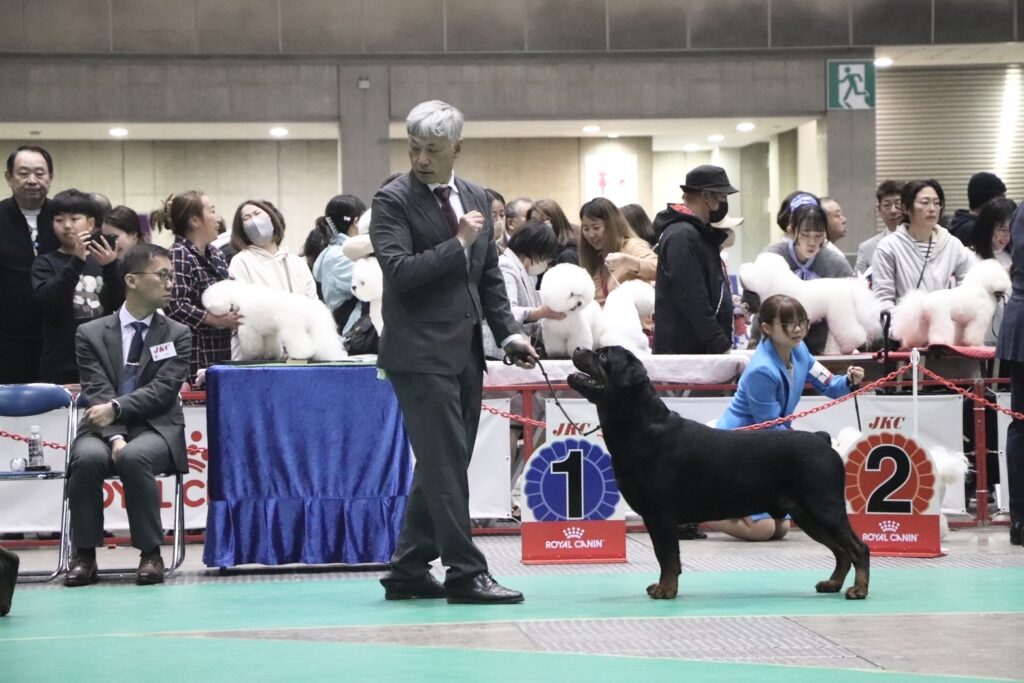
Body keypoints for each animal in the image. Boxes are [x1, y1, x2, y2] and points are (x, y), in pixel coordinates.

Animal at [202, 280, 346, 361]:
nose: (207, 314)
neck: (237, 295)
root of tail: (308, 307)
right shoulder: (268, 333)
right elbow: (270, 345)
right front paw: (270, 355)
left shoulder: (248, 329)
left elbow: (252, 346)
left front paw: (252, 356)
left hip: (292, 329)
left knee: (302, 343)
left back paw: (300, 355)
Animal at [567, 346, 870, 600]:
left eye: (603, 356)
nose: (579, 348)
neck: (639, 425)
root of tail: (822, 439)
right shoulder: (654, 516)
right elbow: (664, 555)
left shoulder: (662, 513)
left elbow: (667, 556)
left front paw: (667, 590)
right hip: (807, 514)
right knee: (841, 550)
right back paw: (833, 584)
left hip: (824, 507)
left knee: (857, 547)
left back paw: (859, 589)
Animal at [740, 252, 881, 353]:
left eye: (756, 266)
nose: (743, 268)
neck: (778, 283)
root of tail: (849, 288)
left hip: (839, 312)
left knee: (852, 333)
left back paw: (848, 348)